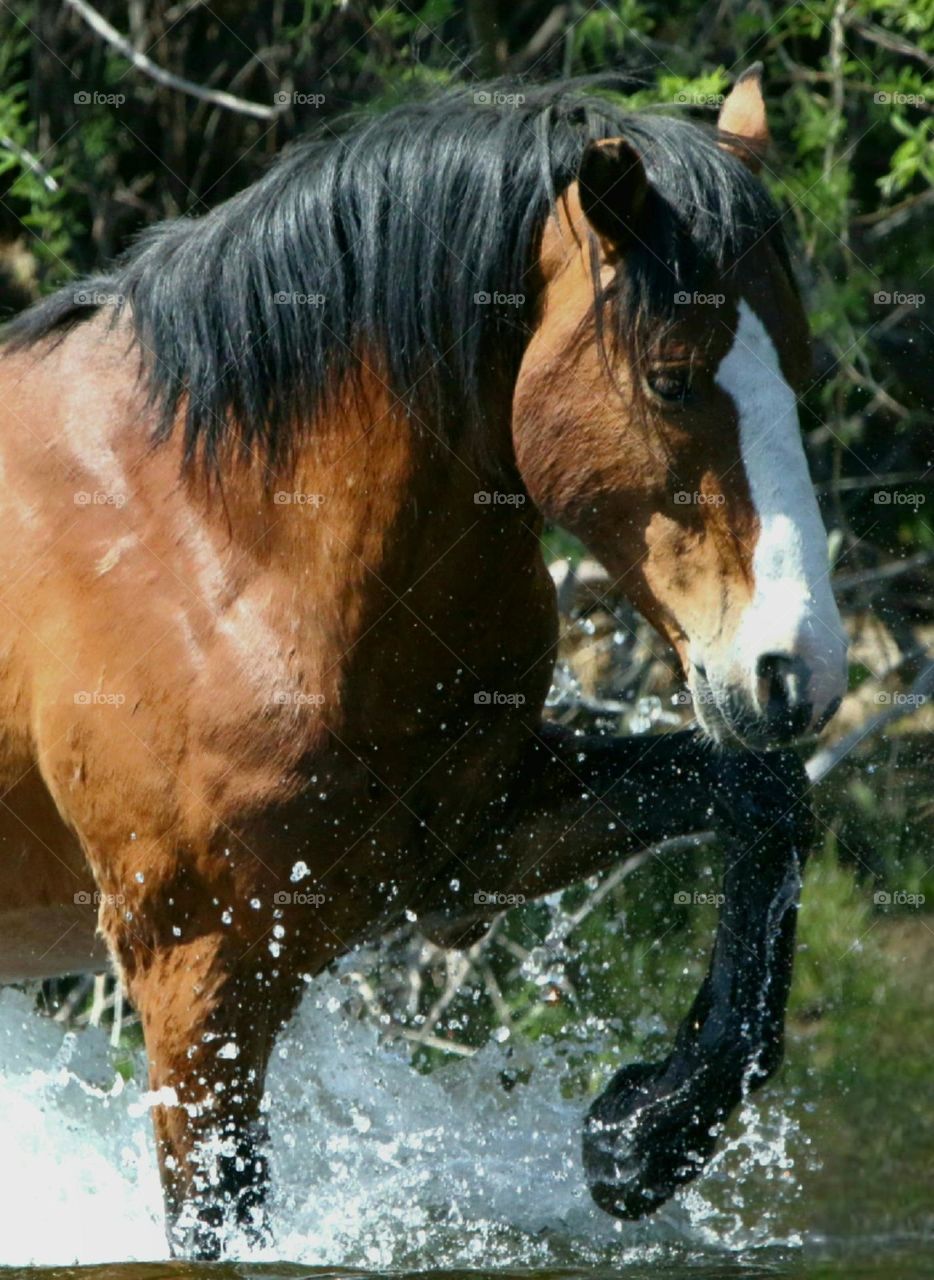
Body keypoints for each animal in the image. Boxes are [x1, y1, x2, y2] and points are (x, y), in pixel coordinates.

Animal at [0, 68, 846, 1257]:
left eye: (804, 373)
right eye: (672, 379)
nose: (798, 672)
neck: (216, 546)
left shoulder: (461, 853)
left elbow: (758, 797)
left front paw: (642, 1132)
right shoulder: (198, 981)